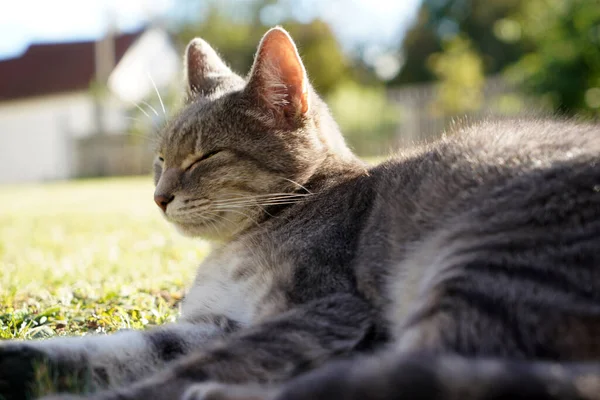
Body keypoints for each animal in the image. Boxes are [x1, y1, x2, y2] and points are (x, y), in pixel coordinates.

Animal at [1, 27, 600, 400]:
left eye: (205, 157)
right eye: (161, 160)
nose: (158, 196)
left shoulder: (324, 308)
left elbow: (203, 364)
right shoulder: (216, 322)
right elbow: (120, 348)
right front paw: (21, 361)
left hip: (480, 263)